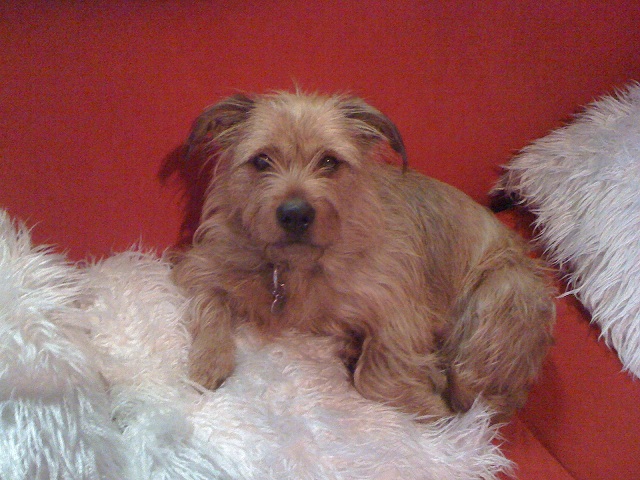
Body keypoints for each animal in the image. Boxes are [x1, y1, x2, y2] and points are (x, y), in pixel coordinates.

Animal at [172, 91, 555, 421]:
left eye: (329, 161)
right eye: (262, 161)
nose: (295, 214)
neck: (298, 266)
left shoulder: (401, 311)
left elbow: (372, 378)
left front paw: (428, 405)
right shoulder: (202, 266)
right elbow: (210, 302)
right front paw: (209, 361)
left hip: (502, 296)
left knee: (479, 402)